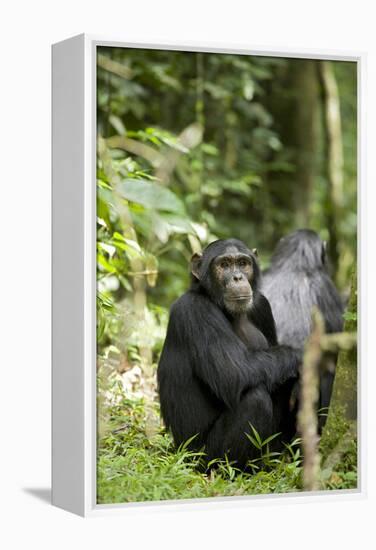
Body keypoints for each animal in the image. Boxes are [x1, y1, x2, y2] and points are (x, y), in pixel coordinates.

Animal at [157, 238, 302, 470]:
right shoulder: (195, 310)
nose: (237, 277)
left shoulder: (263, 306)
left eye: (243, 263)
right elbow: (233, 373)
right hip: (202, 458)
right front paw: (304, 356)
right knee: (255, 399)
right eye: (224, 265)